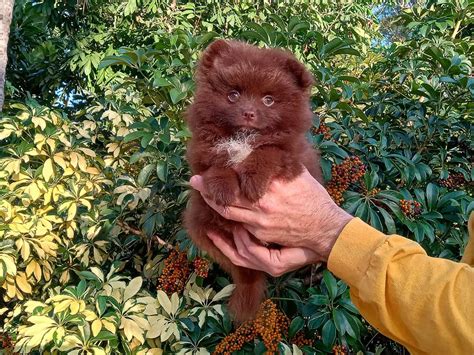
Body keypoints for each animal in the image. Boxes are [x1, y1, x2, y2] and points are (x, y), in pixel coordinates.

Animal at [183, 40, 324, 324]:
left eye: (268, 100)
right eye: (233, 95)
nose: (248, 113)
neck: (244, 138)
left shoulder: (292, 155)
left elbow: (268, 151)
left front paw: (253, 181)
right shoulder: (203, 151)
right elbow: (218, 162)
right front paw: (223, 187)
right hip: (201, 223)